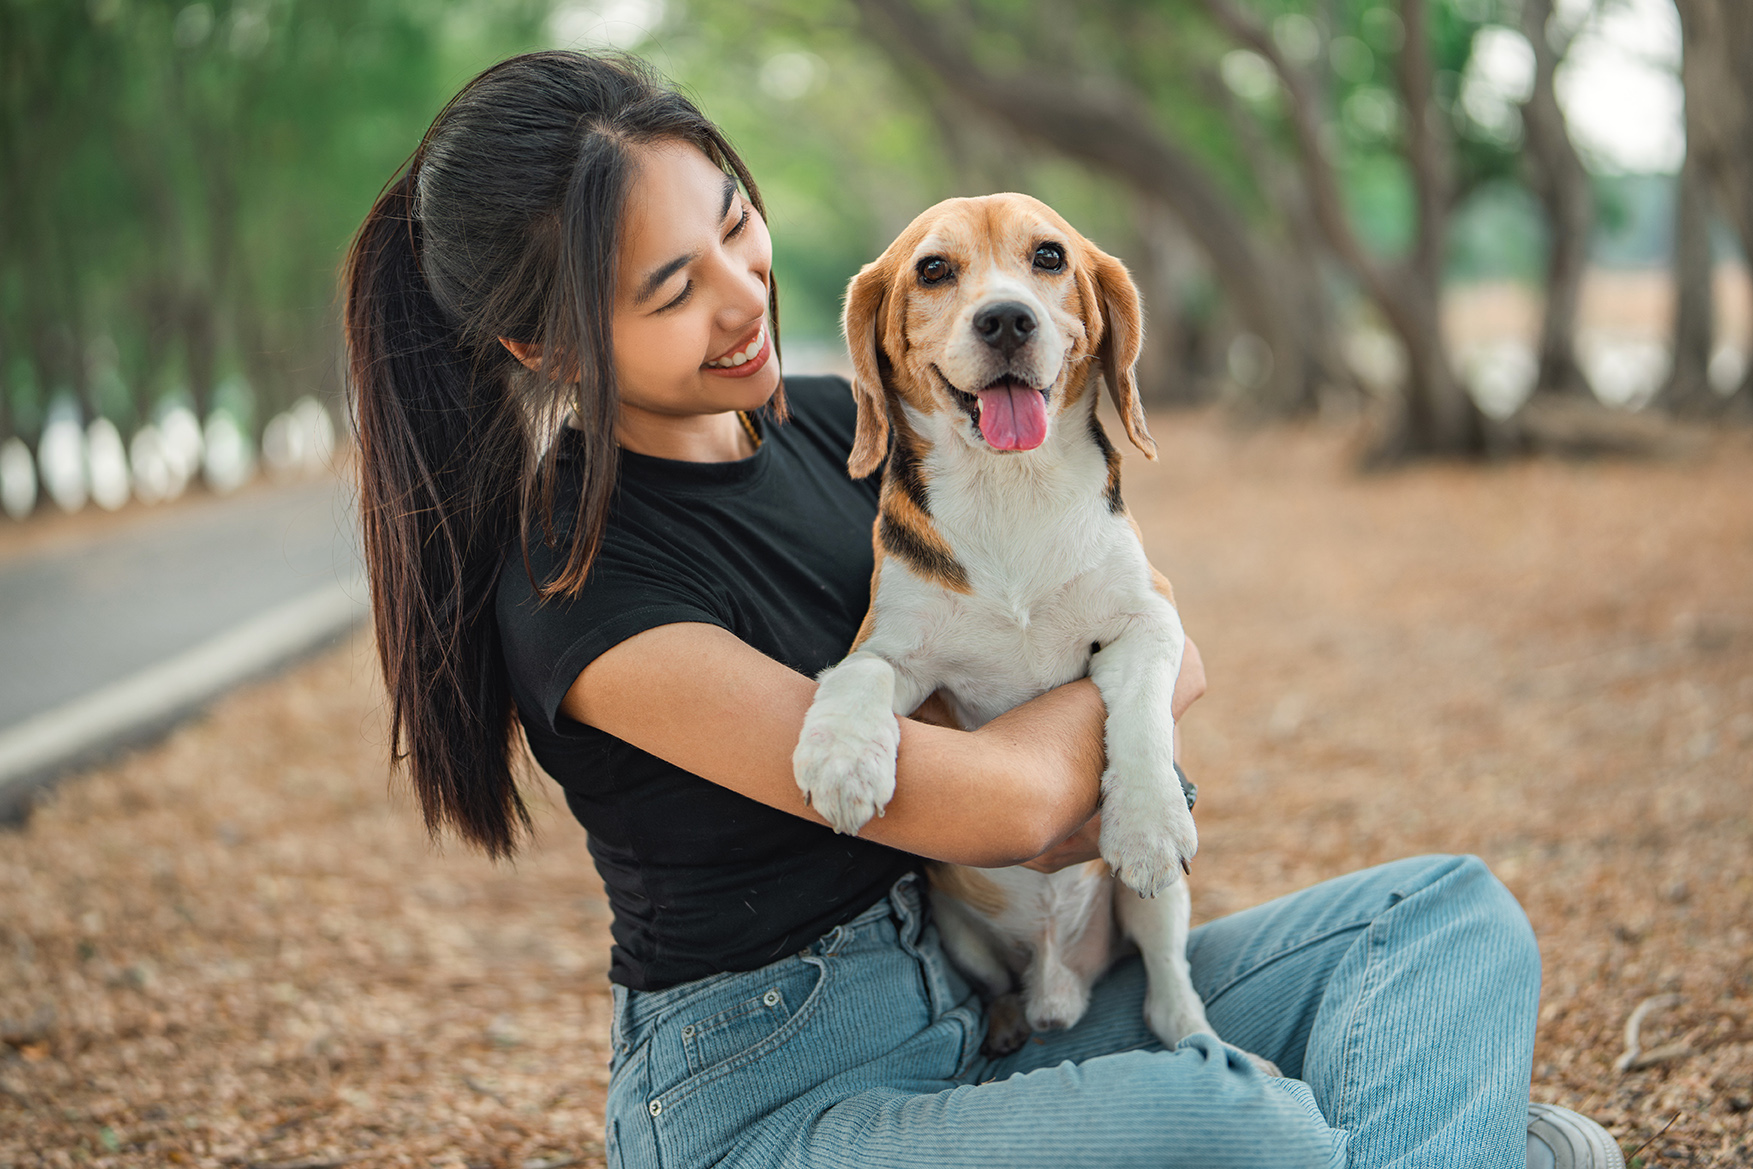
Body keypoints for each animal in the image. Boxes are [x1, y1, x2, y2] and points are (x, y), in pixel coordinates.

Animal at [795, 196, 1220, 1058]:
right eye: (932, 269)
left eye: (1049, 256)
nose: (1005, 319)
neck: (1010, 486)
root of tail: (1060, 980)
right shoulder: (896, 649)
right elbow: (858, 673)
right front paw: (843, 761)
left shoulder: (1151, 616)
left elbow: (1140, 713)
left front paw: (1145, 823)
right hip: (960, 936)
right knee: (1000, 987)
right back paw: (1008, 1022)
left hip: (1158, 910)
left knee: (1166, 985)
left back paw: (1194, 1034)